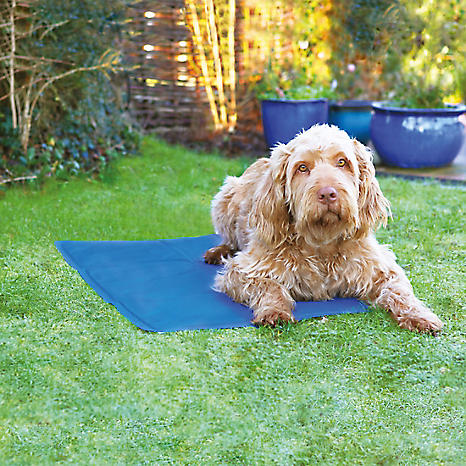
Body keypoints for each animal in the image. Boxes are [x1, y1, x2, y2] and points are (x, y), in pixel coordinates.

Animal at [204, 125, 444, 334]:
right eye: (302, 167)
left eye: (342, 162)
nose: (328, 193)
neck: (322, 241)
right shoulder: (243, 270)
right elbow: (270, 286)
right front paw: (274, 310)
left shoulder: (382, 269)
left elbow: (400, 291)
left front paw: (419, 315)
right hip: (225, 196)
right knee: (228, 239)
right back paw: (218, 251)